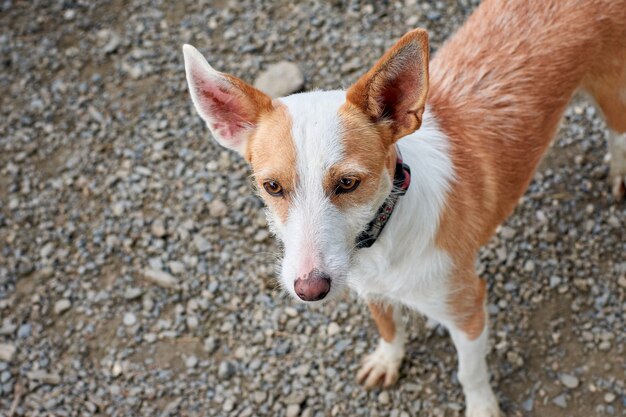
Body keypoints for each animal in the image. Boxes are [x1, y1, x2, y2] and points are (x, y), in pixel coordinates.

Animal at [180, 1, 624, 414]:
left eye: (348, 183)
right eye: (272, 186)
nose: (309, 290)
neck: (382, 235)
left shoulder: (468, 309)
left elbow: (470, 373)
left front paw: (482, 407)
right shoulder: (371, 288)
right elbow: (388, 327)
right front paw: (387, 360)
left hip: (612, 93)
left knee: (617, 133)